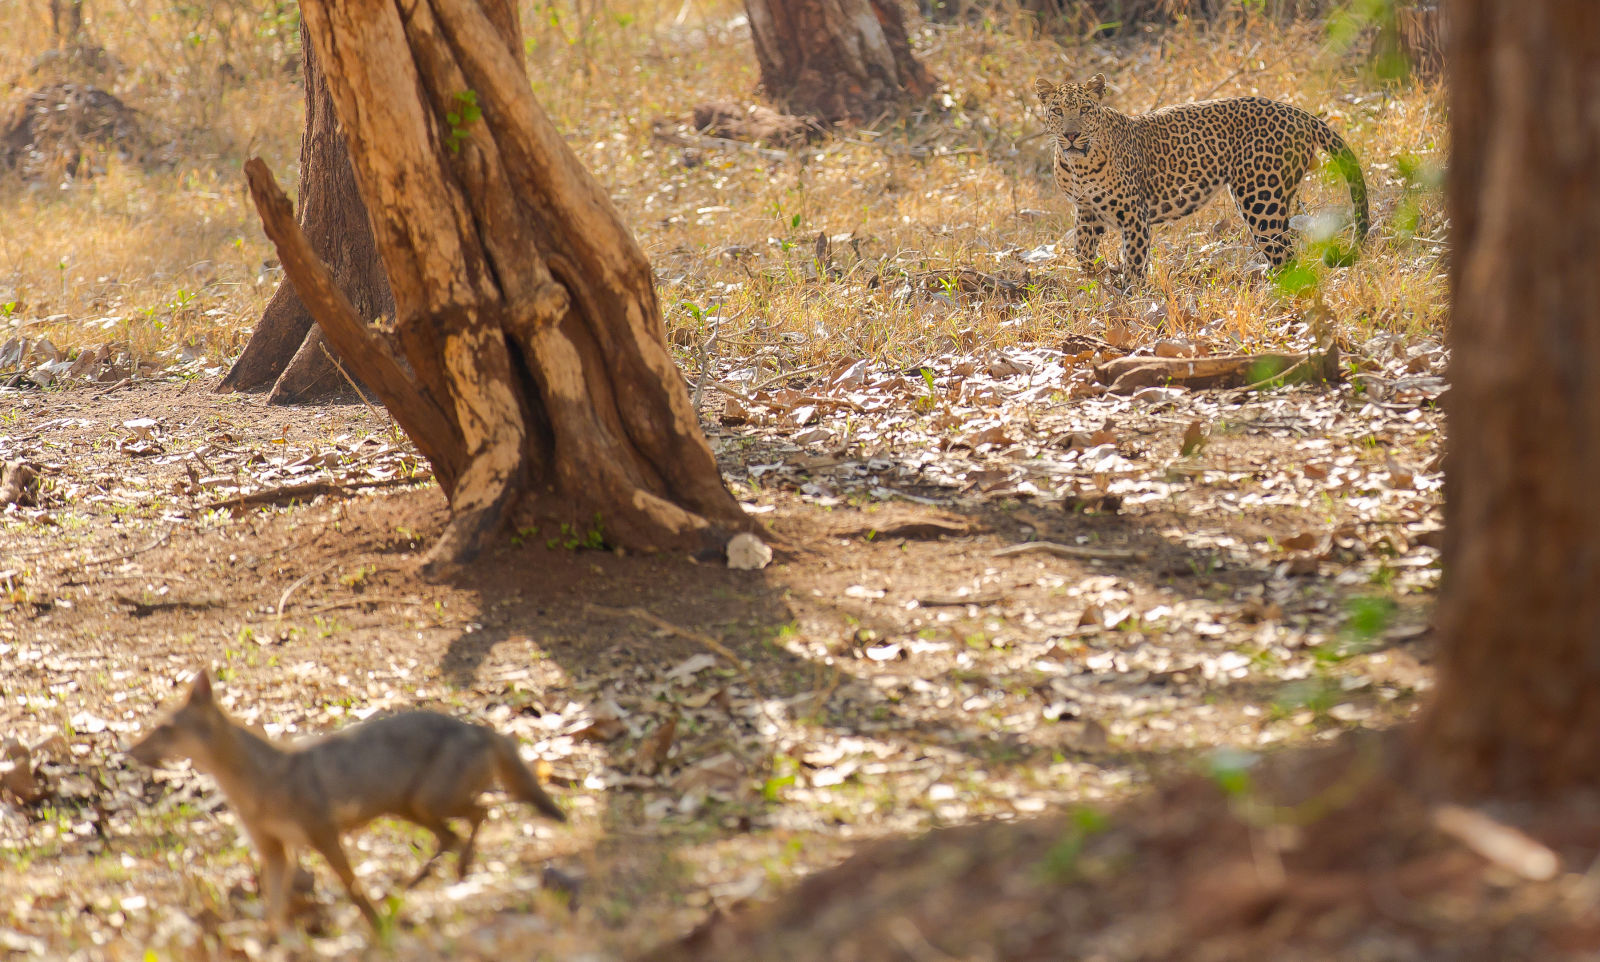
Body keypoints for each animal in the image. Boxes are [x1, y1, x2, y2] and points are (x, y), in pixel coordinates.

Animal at [1043, 73, 1369, 275]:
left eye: (1085, 109)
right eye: (1057, 111)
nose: (1071, 135)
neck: (1079, 166)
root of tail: (1299, 112)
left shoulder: (1134, 215)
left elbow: (1135, 265)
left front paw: (1129, 301)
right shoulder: (1087, 210)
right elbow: (1082, 252)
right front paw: (1100, 277)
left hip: (1260, 200)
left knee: (1285, 255)